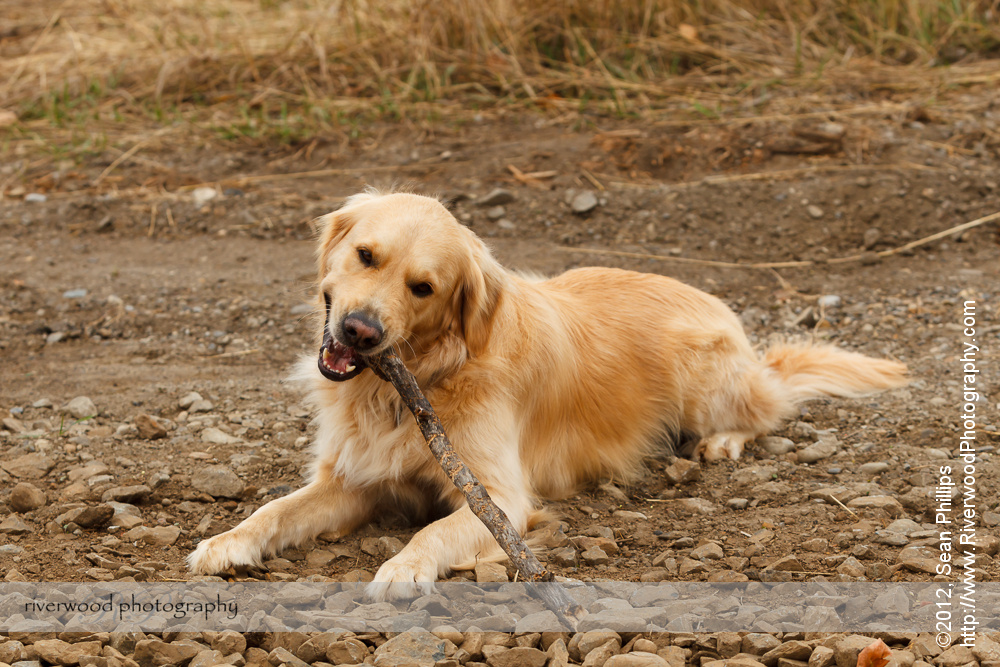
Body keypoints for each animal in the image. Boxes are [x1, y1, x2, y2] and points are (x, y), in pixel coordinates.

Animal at [186, 189, 908, 600]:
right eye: (365, 255)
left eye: (423, 287)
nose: (360, 330)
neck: (413, 382)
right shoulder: (351, 477)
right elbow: (275, 509)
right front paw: (227, 540)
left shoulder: (500, 497)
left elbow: (434, 533)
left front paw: (403, 569)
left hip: (704, 378)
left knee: (768, 407)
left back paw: (723, 441)